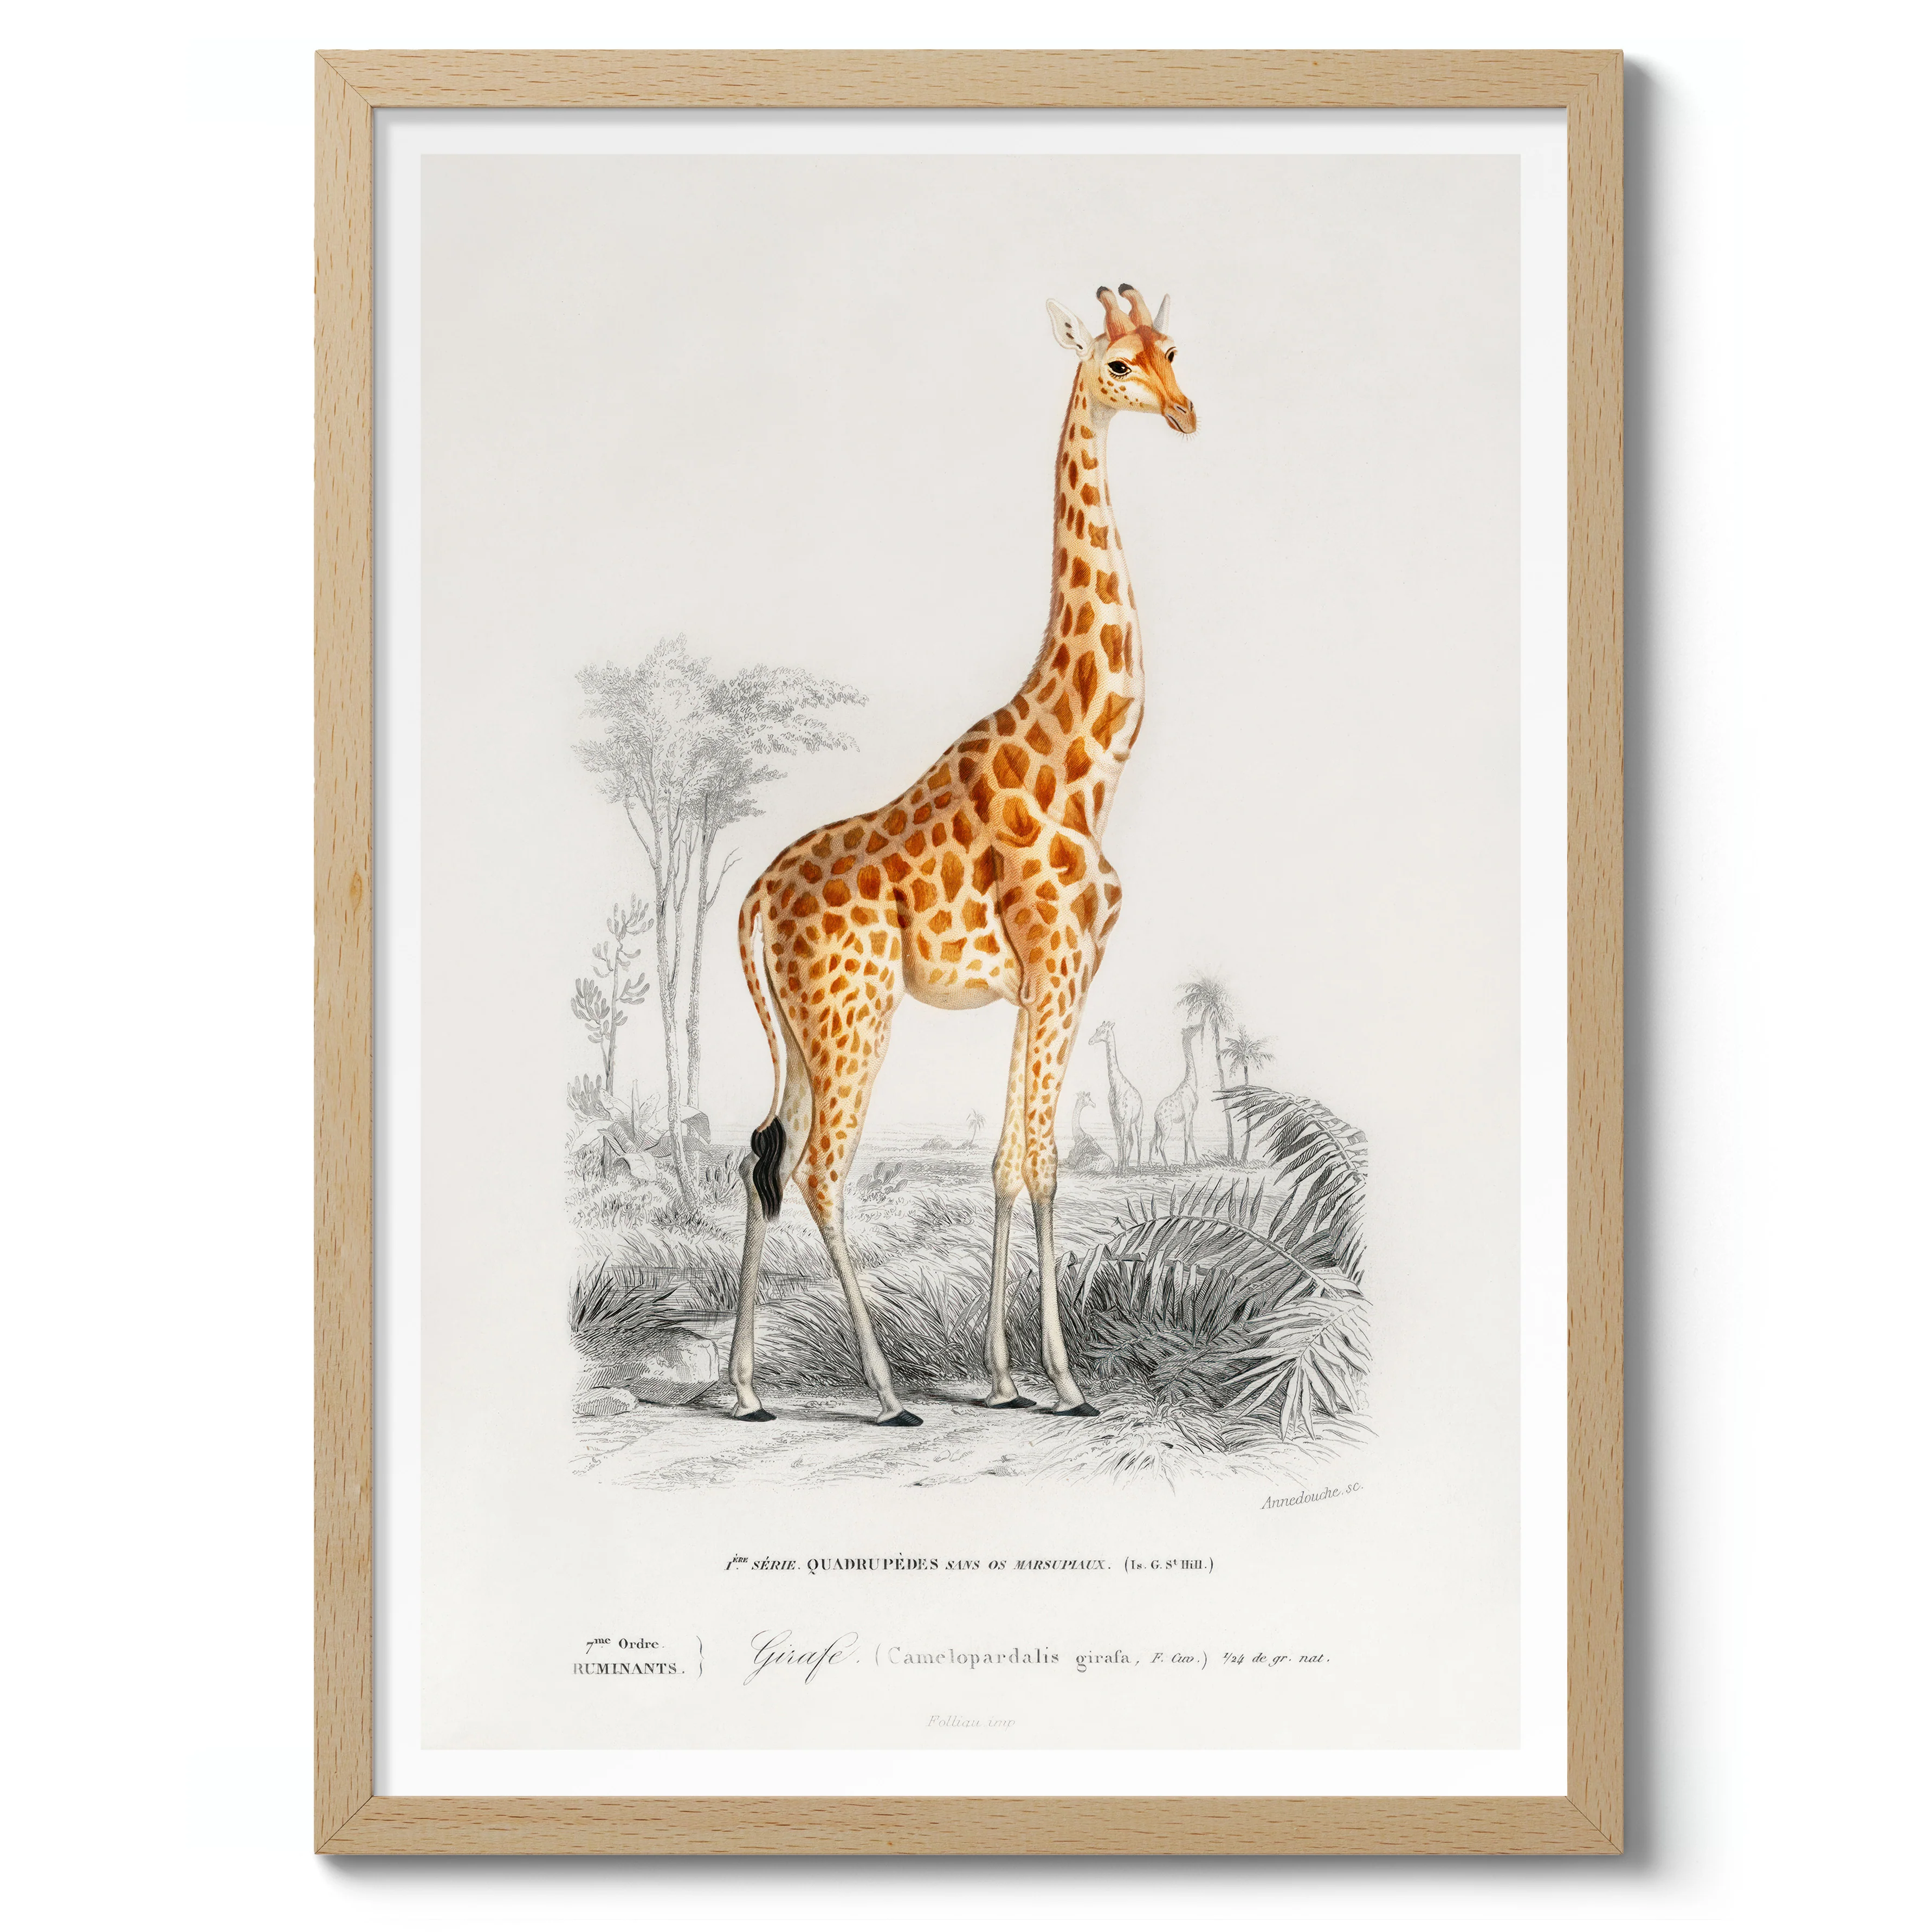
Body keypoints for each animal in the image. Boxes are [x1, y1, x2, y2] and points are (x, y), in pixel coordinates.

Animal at [1087, 1019, 1145, 1169]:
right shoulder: (1115, 1119)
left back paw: (1138, 1167)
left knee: (1139, 1139)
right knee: (1131, 1140)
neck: (1115, 1085)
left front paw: (1123, 1169)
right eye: (1097, 1029)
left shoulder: (1125, 1119)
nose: (1090, 1041)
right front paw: (1120, 1168)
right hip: (1129, 1123)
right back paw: (1127, 1164)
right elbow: (1119, 1142)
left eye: (1103, 1031)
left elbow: (1123, 1142)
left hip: (1138, 1120)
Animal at [1150, 1021, 1207, 1165]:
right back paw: (1167, 1165)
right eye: (1192, 1028)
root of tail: (1155, 1116)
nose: (1202, 1024)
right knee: (1161, 1145)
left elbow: (1192, 1138)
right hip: (1167, 1126)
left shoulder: (1192, 1115)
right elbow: (1186, 1137)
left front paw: (1197, 1161)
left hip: (1160, 1128)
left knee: (1151, 1142)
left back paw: (1150, 1163)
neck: (1191, 1083)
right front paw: (1186, 1162)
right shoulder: (1188, 1114)